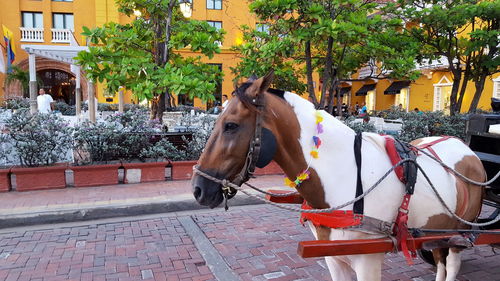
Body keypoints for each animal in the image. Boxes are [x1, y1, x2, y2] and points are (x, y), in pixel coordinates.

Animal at [191, 72, 484, 280]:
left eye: (231, 125)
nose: (198, 189)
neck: (345, 175)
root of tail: (466, 148)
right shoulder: (333, 256)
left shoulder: (367, 260)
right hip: (438, 230)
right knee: (440, 259)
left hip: (459, 233)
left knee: (452, 262)